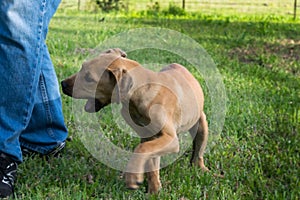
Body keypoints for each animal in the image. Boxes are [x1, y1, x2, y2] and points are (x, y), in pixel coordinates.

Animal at [61, 48, 209, 194]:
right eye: (82, 66)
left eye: (89, 78)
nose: (62, 84)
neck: (141, 90)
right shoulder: (149, 136)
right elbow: (150, 160)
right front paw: (154, 191)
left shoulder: (170, 138)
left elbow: (141, 149)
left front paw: (133, 176)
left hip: (201, 125)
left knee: (198, 151)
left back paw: (200, 168)